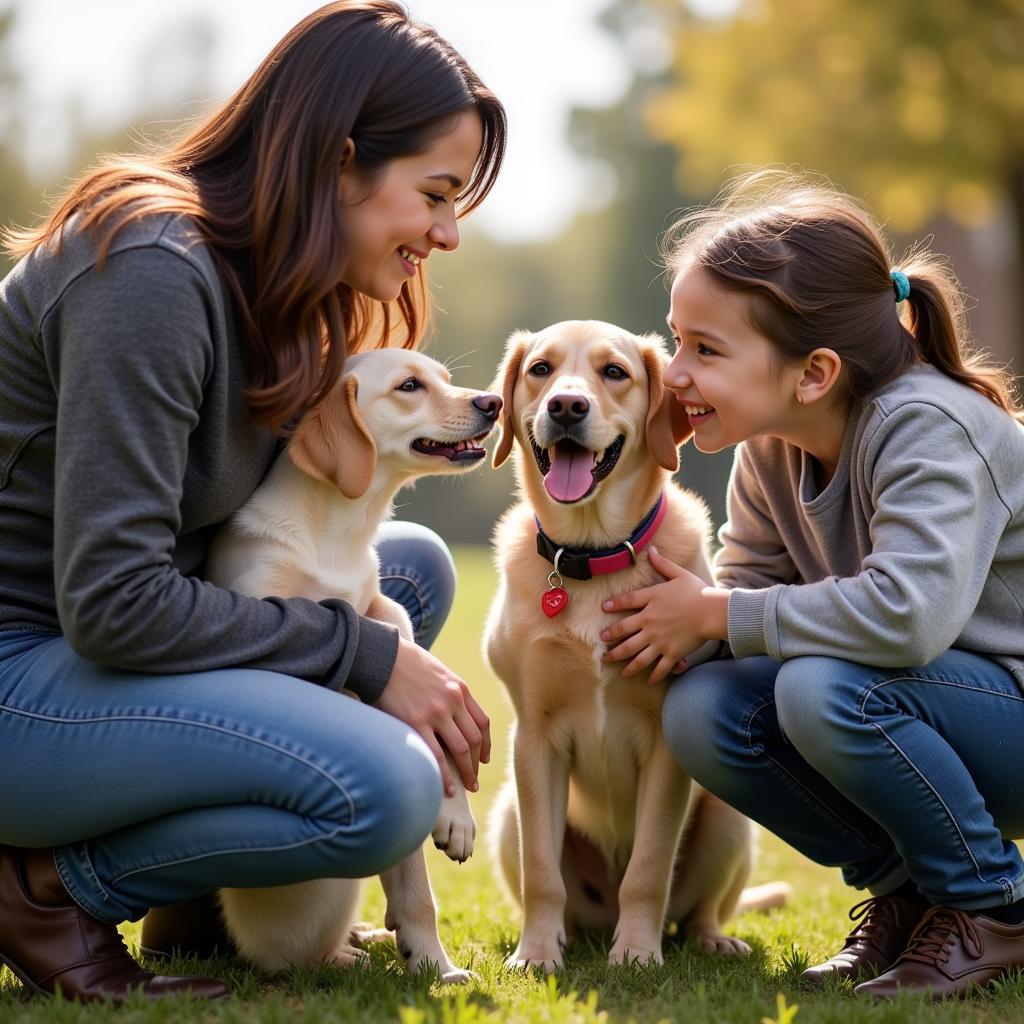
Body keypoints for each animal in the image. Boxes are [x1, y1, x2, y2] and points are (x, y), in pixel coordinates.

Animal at [203, 348, 499, 978]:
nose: (493, 402)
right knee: (301, 957)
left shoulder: (380, 606)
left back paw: (415, 955)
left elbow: (405, 643)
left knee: (409, 897)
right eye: (409, 386)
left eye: (444, 377)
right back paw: (353, 956)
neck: (339, 531)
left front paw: (457, 815)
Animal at [483, 317, 786, 966]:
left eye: (614, 372)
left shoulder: (666, 745)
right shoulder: (536, 737)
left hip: (727, 817)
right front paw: (536, 953)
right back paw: (571, 935)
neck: (592, 554)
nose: (566, 406)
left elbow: (648, 868)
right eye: (541, 369)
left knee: (695, 909)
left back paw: (710, 939)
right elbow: (542, 871)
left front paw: (637, 953)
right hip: (506, 815)